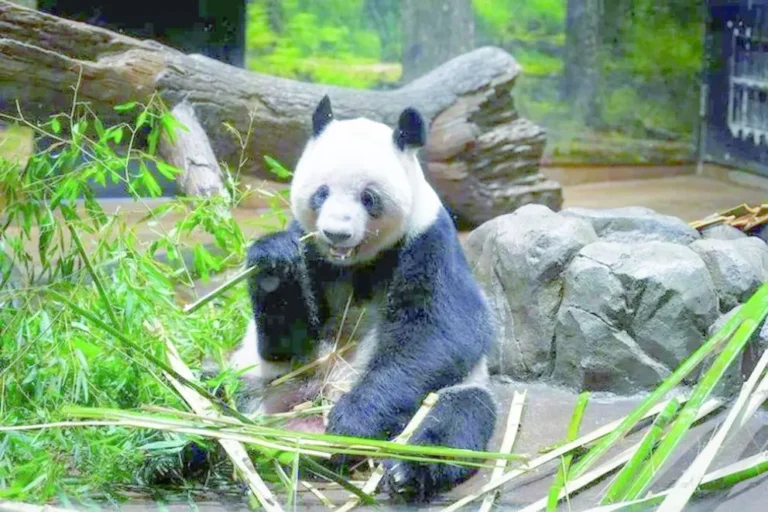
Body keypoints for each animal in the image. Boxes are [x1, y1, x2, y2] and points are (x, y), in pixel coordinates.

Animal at [227, 95, 498, 502]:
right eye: (321, 192)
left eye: (369, 198)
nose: (336, 233)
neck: (354, 264)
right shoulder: (311, 252)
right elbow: (288, 343)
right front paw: (274, 262)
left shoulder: (428, 240)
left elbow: (440, 332)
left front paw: (352, 421)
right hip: (255, 381)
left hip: (451, 394)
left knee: (456, 417)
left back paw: (406, 472)